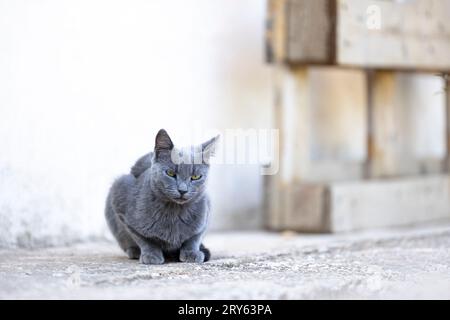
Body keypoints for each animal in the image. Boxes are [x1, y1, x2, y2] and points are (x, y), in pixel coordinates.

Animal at [105, 129, 218, 264]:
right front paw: (151, 255)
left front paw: (192, 253)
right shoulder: (121, 206)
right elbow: (143, 239)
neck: (174, 212)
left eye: (196, 177)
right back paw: (135, 251)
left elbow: (194, 238)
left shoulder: (205, 212)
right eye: (170, 173)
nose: (182, 190)